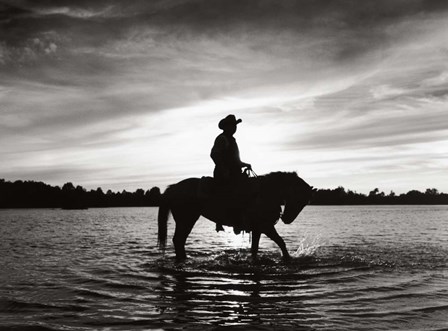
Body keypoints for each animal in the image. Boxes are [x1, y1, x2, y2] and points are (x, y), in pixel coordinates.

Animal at [158, 171, 316, 262]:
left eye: (305, 202)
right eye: (299, 199)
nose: (287, 219)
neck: (265, 192)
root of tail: (173, 188)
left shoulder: (258, 229)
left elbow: (255, 249)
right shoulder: (266, 226)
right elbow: (281, 242)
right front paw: (288, 259)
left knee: (179, 241)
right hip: (186, 220)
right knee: (178, 240)